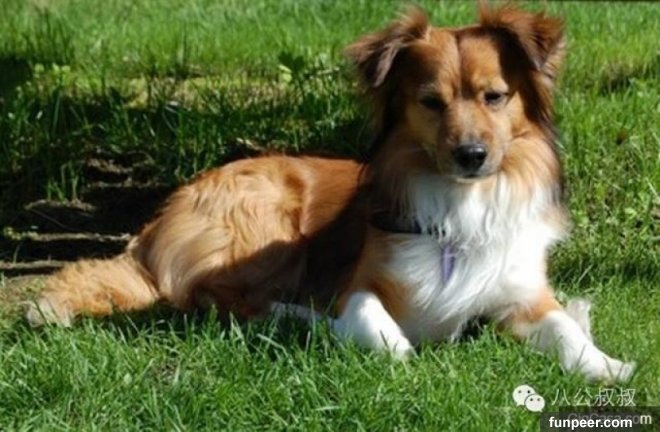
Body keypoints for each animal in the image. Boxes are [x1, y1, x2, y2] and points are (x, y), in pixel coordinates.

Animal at [27, 5, 634, 383]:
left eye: (495, 96)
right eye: (430, 101)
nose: (471, 155)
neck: (459, 205)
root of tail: (159, 220)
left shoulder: (522, 293)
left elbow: (561, 326)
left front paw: (606, 365)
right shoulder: (361, 281)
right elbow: (371, 321)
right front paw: (390, 347)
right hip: (268, 220)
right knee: (215, 299)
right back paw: (304, 318)